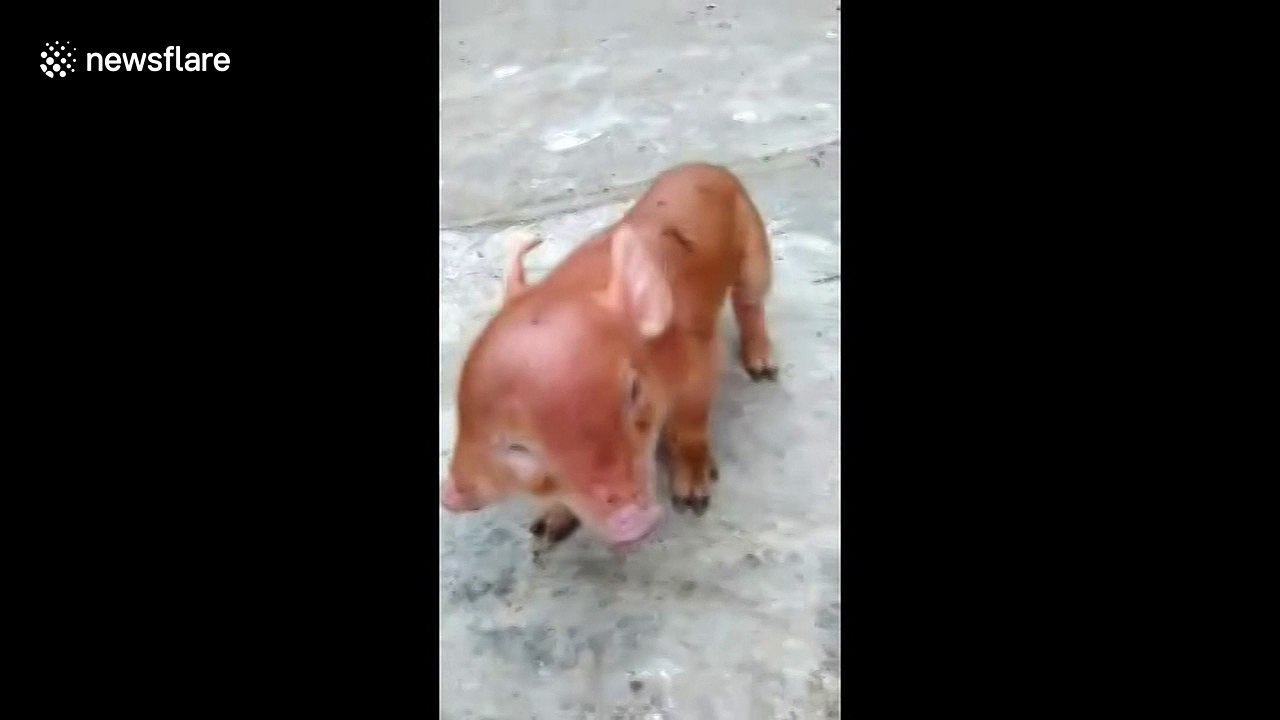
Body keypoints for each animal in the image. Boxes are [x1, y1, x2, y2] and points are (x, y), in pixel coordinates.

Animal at [441, 163, 778, 548]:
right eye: (516, 447)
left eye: (633, 391)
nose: (632, 517)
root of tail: (705, 166)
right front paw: (544, 530)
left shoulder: (703, 360)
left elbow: (691, 428)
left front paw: (692, 500)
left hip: (755, 248)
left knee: (750, 302)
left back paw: (764, 370)